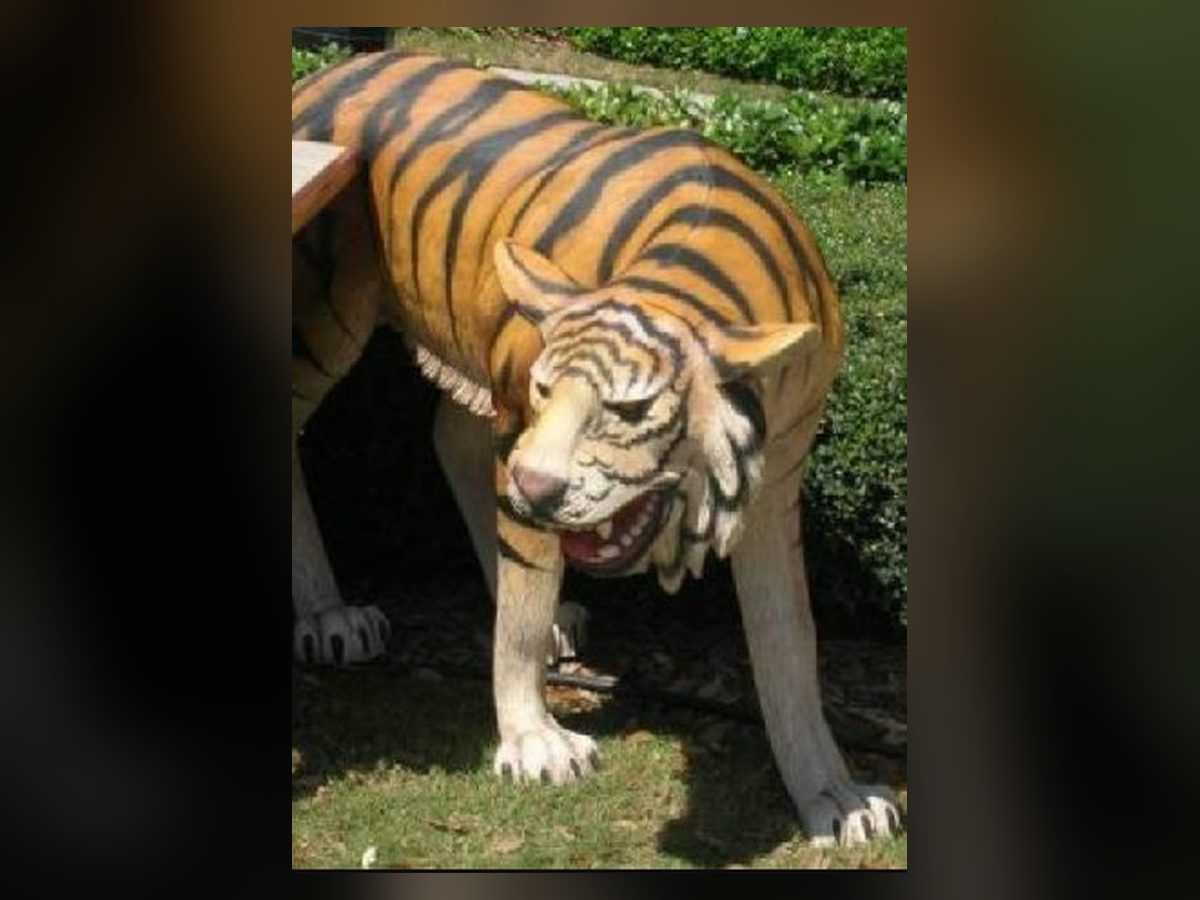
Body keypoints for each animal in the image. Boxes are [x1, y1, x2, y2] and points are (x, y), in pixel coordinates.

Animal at [291, 49, 900, 846]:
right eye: (550, 389)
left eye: (630, 410)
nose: (533, 486)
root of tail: (325, 71)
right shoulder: (519, 418)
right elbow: (519, 615)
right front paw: (536, 740)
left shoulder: (775, 484)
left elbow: (789, 641)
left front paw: (835, 794)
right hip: (327, 315)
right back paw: (327, 616)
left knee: (451, 439)